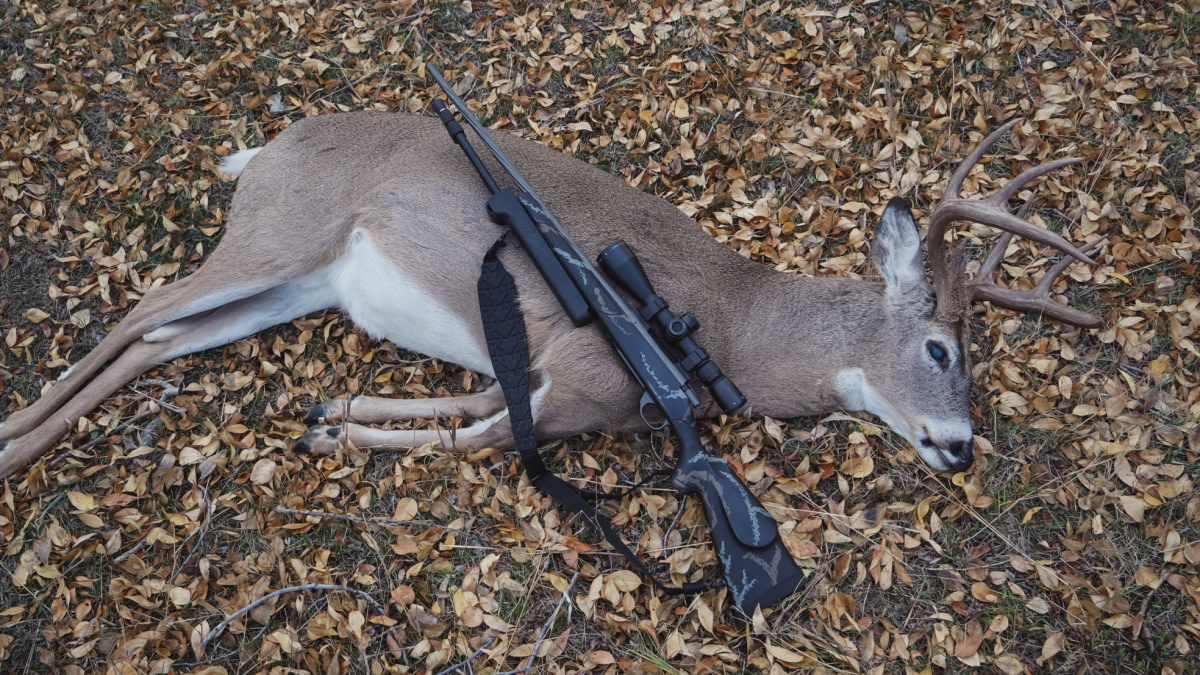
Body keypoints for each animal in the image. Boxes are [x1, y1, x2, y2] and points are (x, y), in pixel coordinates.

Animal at [0, 114, 1103, 479]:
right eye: (942, 349)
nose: (960, 447)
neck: (738, 326)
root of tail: (265, 148)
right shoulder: (581, 377)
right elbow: (481, 436)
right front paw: (336, 431)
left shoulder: (539, 367)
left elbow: (474, 407)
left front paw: (336, 413)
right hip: (279, 232)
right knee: (140, 312)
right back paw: (12, 444)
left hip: (299, 282)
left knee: (162, 339)